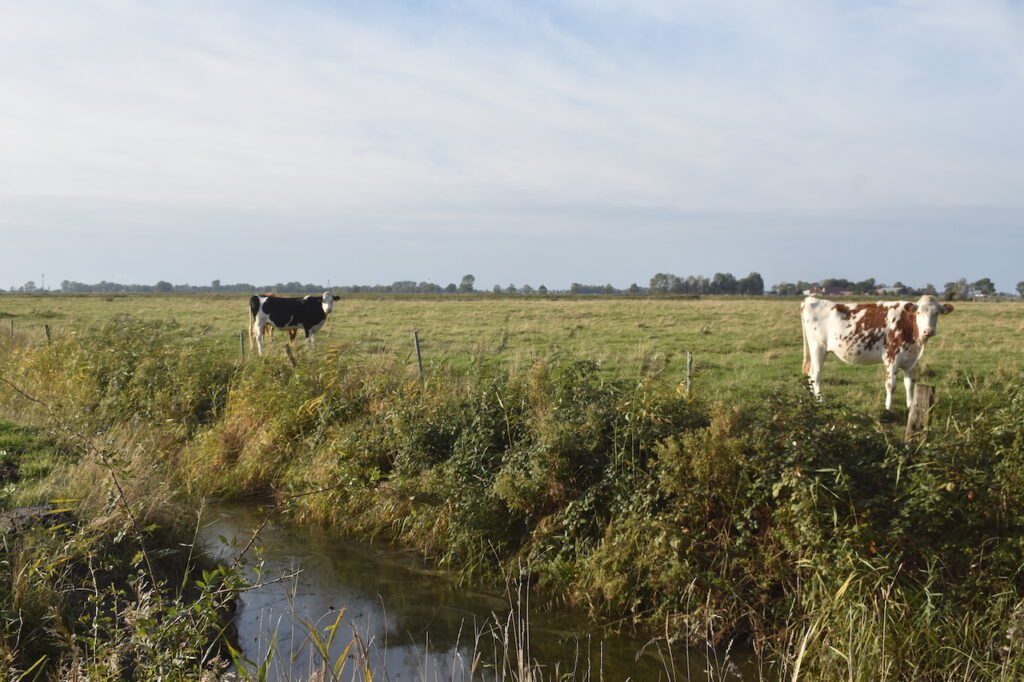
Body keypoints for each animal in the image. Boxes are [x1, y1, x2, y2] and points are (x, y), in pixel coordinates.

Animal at [798, 292, 950, 409]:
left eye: (937, 313)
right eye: (918, 312)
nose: (928, 331)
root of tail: (811, 300)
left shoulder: (910, 361)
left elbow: (909, 384)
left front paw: (910, 405)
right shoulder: (891, 357)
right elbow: (891, 384)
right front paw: (888, 408)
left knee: (811, 373)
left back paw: (812, 399)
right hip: (818, 347)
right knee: (816, 374)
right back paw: (820, 401)